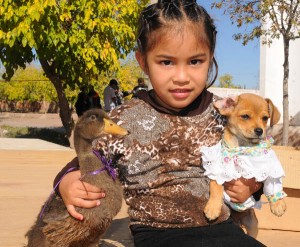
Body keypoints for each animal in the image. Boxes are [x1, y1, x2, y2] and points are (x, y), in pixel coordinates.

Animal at [200, 93, 288, 238]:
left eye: (265, 118)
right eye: (245, 116)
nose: (259, 130)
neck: (243, 147)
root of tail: (238, 220)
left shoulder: (270, 168)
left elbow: (273, 185)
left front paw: (278, 204)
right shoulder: (217, 170)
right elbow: (216, 187)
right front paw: (213, 208)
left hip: (252, 224)